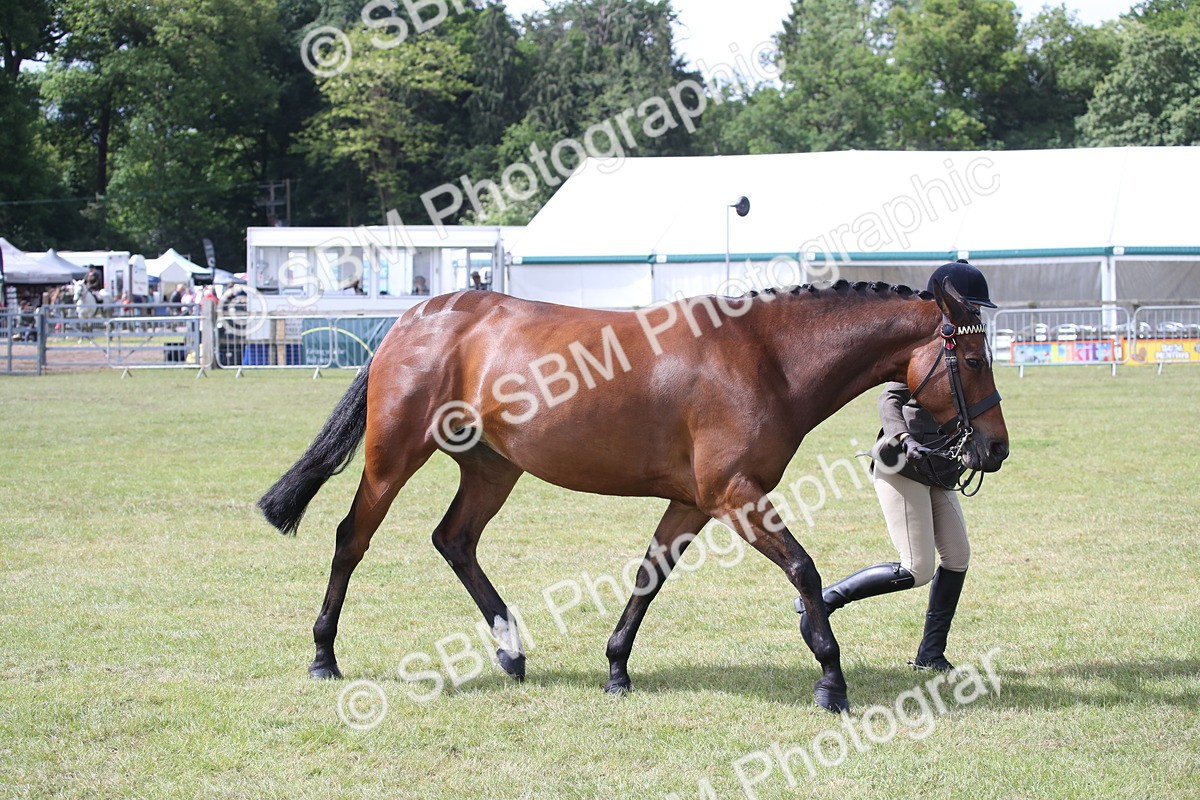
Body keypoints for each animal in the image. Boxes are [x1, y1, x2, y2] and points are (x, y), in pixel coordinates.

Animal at [258, 278, 1009, 712]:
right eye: (973, 359)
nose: (995, 450)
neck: (765, 355)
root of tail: (414, 318)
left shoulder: (696, 502)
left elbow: (650, 575)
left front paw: (617, 667)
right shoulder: (736, 495)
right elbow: (803, 568)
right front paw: (831, 678)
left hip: (493, 468)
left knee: (455, 540)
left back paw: (511, 650)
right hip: (394, 457)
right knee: (352, 539)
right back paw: (324, 656)